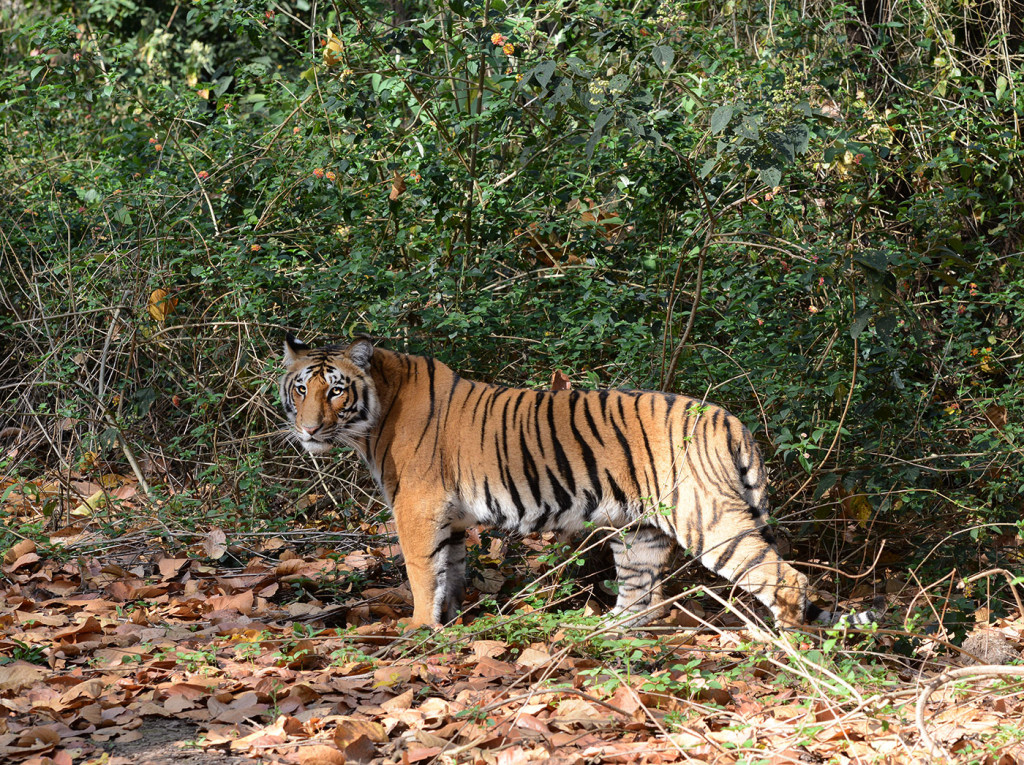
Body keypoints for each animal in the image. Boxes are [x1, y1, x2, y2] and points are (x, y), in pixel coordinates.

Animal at [279, 335, 868, 629]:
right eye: (301, 389)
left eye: (335, 390)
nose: (307, 430)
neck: (374, 413)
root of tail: (731, 419)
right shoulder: (450, 519)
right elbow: (450, 572)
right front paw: (451, 625)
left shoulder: (418, 508)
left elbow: (422, 574)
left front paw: (418, 630)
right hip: (642, 530)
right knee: (642, 601)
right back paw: (605, 636)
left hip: (708, 517)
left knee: (786, 580)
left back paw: (781, 653)